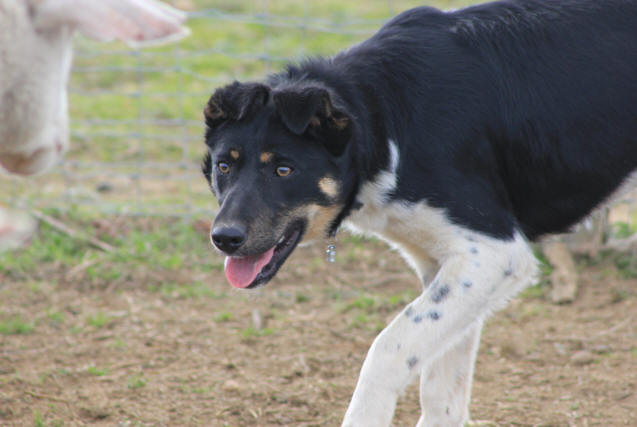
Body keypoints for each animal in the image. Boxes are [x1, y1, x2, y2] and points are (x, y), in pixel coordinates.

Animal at [202, 1, 636, 426]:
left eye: (283, 170)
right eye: (224, 166)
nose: (224, 238)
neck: (383, 120)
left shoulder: (495, 254)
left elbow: (387, 349)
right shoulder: (446, 265)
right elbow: (442, 393)